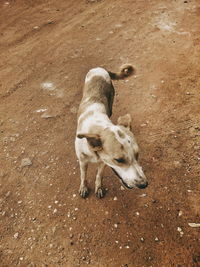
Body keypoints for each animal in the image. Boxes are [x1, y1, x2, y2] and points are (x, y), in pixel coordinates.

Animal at [74, 65, 148, 199]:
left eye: (137, 154)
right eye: (119, 160)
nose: (144, 185)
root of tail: (100, 68)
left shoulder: (103, 162)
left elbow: (99, 175)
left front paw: (98, 187)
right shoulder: (82, 161)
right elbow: (83, 175)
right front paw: (83, 187)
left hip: (111, 98)